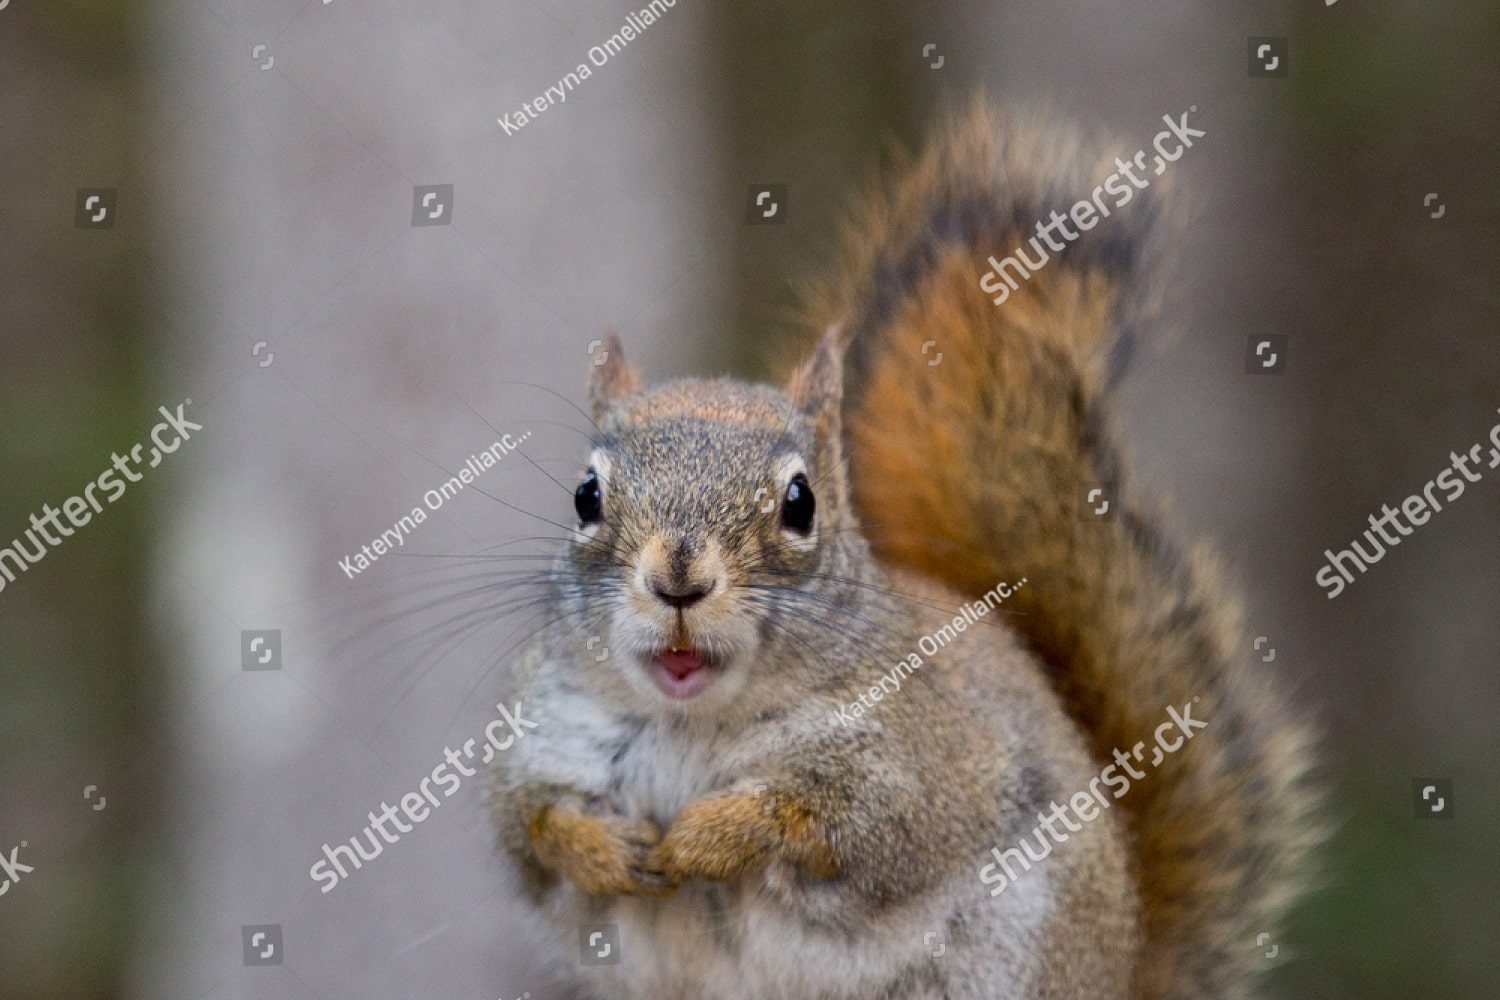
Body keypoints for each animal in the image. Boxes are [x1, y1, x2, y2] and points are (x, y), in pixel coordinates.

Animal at [489, 103, 1319, 999]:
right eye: (587, 495)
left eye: (800, 503)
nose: (678, 579)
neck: (693, 722)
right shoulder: (540, 737)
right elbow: (529, 830)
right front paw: (601, 848)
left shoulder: (924, 758)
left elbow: (851, 826)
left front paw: (715, 834)